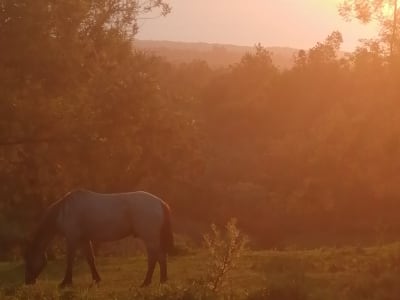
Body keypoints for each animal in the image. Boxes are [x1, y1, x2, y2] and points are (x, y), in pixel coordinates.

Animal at [23, 190, 173, 288]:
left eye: (28, 260)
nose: (28, 281)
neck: (64, 210)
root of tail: (160, 202)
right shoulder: (84, 239)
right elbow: (90, 259)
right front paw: (96, 279)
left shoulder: (72, 239)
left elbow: (70, 260)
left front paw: (66, 282)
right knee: (161, 257)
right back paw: (162, 280)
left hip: (150, 238)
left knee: (155, 258)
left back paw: (146, 282)